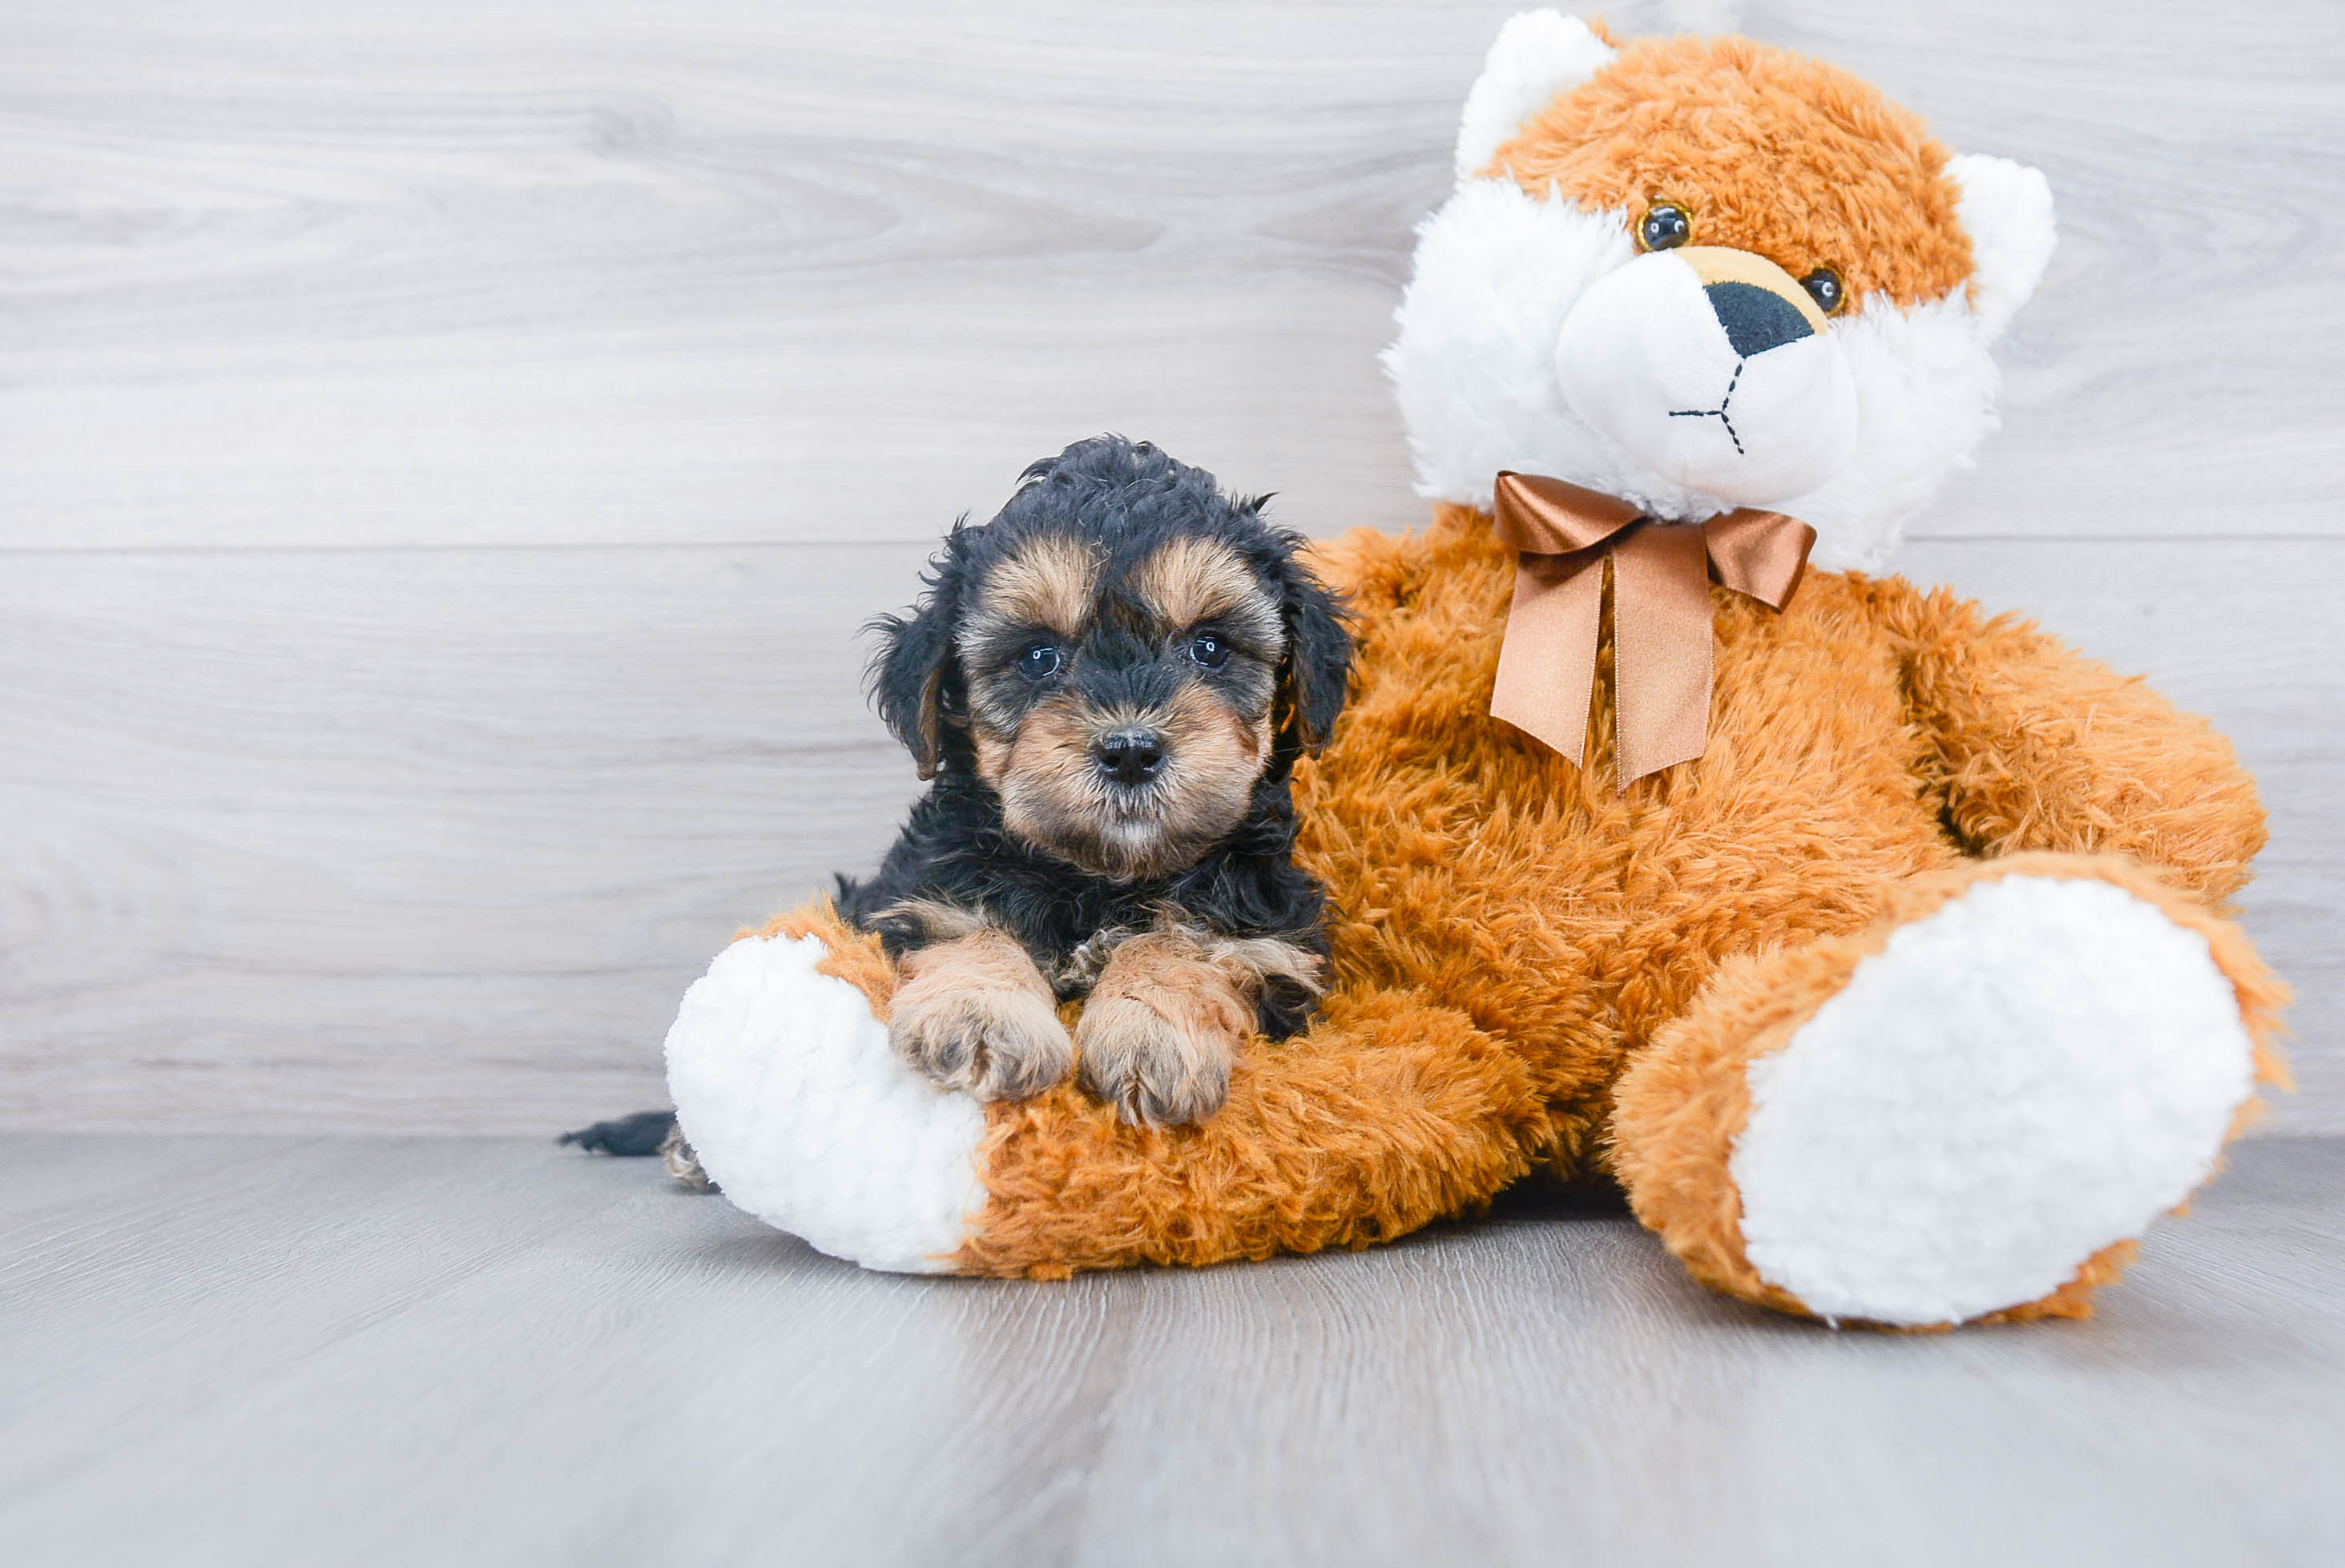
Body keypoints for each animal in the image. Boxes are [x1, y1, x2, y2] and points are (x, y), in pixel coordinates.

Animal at [555, 433, 1350, 1181]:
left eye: (1209, 648)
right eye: (1038, 657)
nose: (1129, 750)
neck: (1096, 877)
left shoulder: (1273, 935)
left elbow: (1189, 938)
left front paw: (1150, 1030)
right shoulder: (914, 890)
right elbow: (966, 922)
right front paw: (981, 1015)